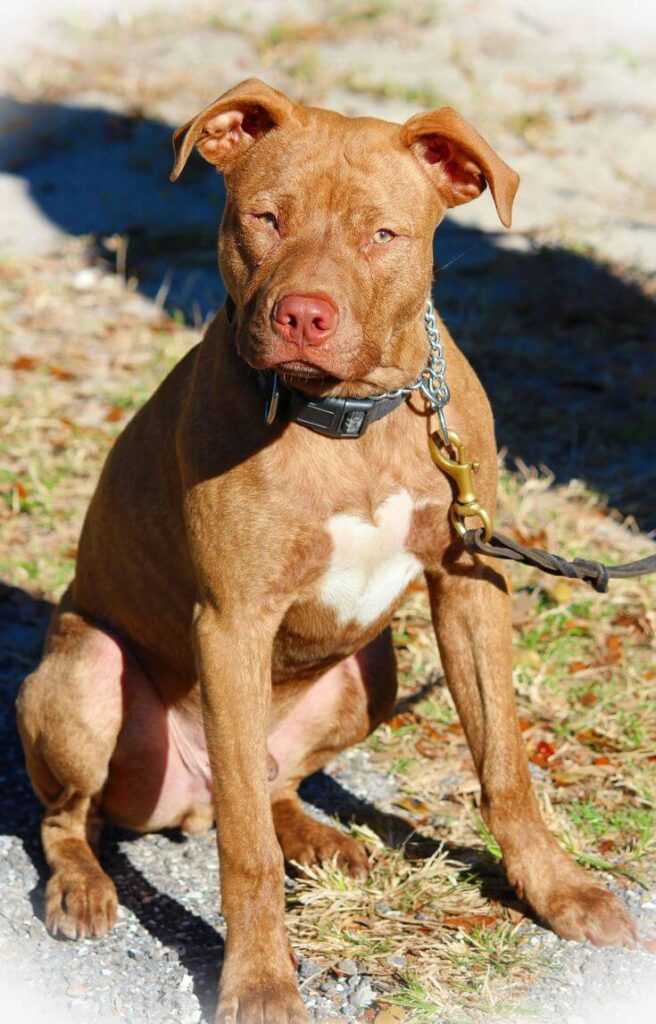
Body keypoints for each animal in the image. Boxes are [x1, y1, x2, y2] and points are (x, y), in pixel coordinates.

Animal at [17, 81, 638, 1024]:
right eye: (265, 218)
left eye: (382, 234)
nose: (303, 315)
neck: (351, 418)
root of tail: (182, 804)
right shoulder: (232, 622)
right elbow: (245, 851)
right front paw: (261, 981)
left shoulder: (469, 583)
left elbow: (504, 764)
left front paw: (557, 891)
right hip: (86, 673)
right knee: (83, 817)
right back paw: (83, 887)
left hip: (370, 672)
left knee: (272, 782)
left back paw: (320, 837)